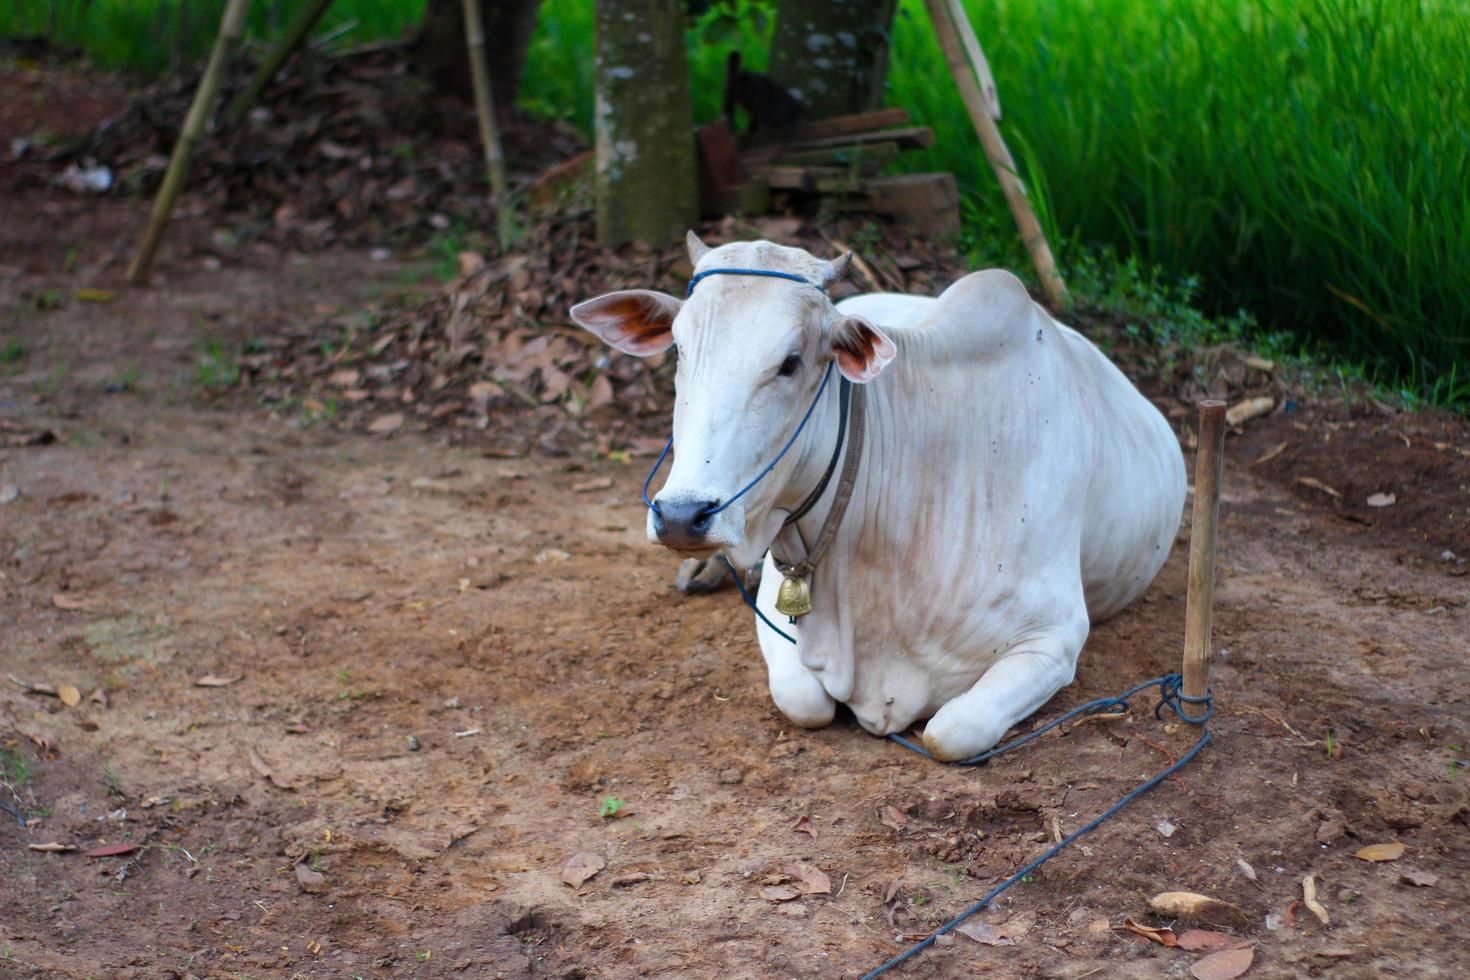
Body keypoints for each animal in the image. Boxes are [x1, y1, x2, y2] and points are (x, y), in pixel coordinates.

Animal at [567, 235, 1187, 758]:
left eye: (790, 361)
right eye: (678, 350)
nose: (681, 515)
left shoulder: (1056, 637)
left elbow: (949, 734)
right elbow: (805, 702)